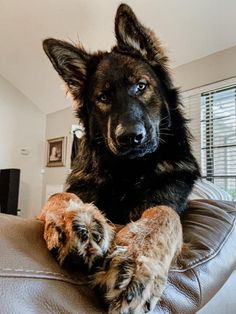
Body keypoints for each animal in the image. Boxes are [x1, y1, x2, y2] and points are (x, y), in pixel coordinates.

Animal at [38, 3, 199, 314]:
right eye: (103, 97)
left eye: (140, 86)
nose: (130, 138)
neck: (128, 171)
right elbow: (57, 196)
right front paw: (75, 220)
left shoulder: (169, 200)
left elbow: (165, 214)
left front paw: (136, 259)